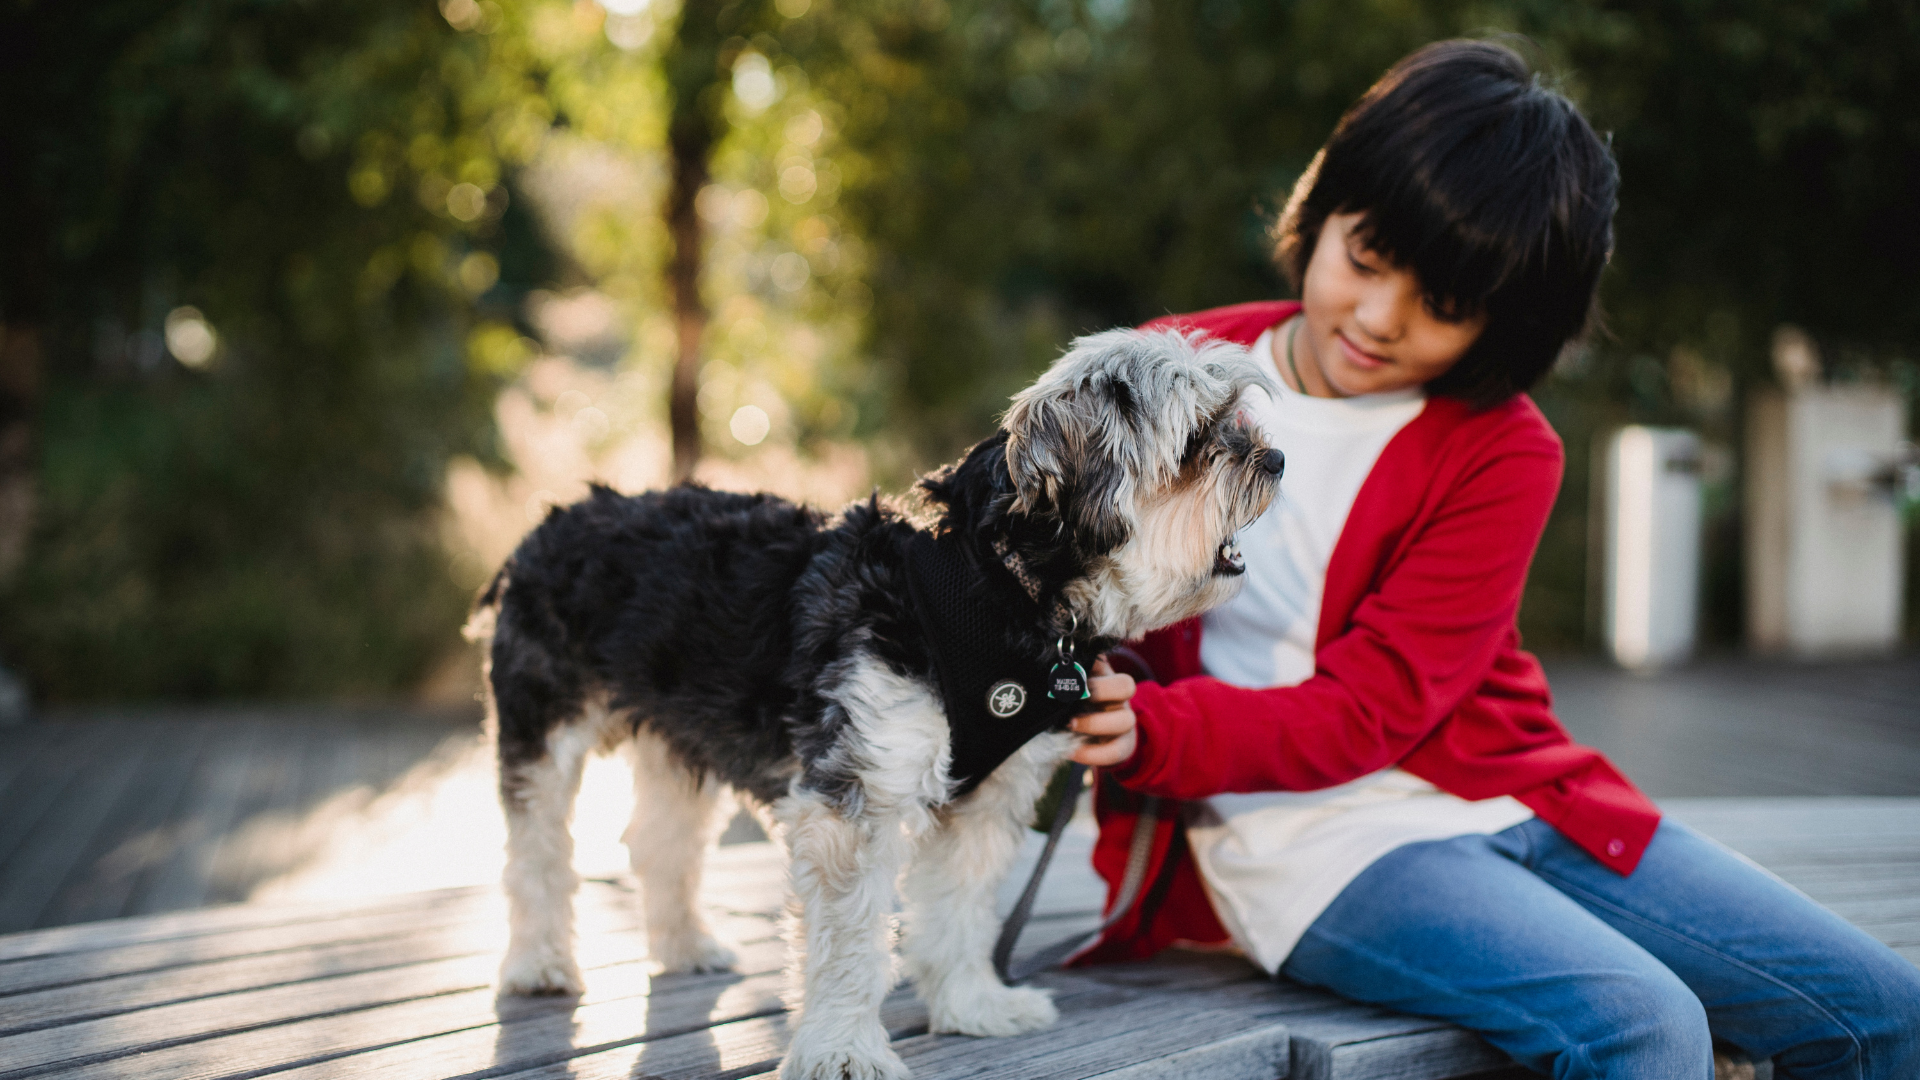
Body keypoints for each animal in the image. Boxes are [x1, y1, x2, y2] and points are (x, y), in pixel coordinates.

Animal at [468, 328, 1274, 1076]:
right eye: (1199, 438)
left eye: (1237, 418)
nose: (1275, 461)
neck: (992, 585)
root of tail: (547, 525)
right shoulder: (858, 793)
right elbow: (851, 940)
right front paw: (842, 1048)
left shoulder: (983, 803)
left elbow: (959, 912)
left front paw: (972, 1004)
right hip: (542, 726)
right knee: (536, 849)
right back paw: (539, 964)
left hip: (681, 738)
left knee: (659, 841)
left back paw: (685, 946)